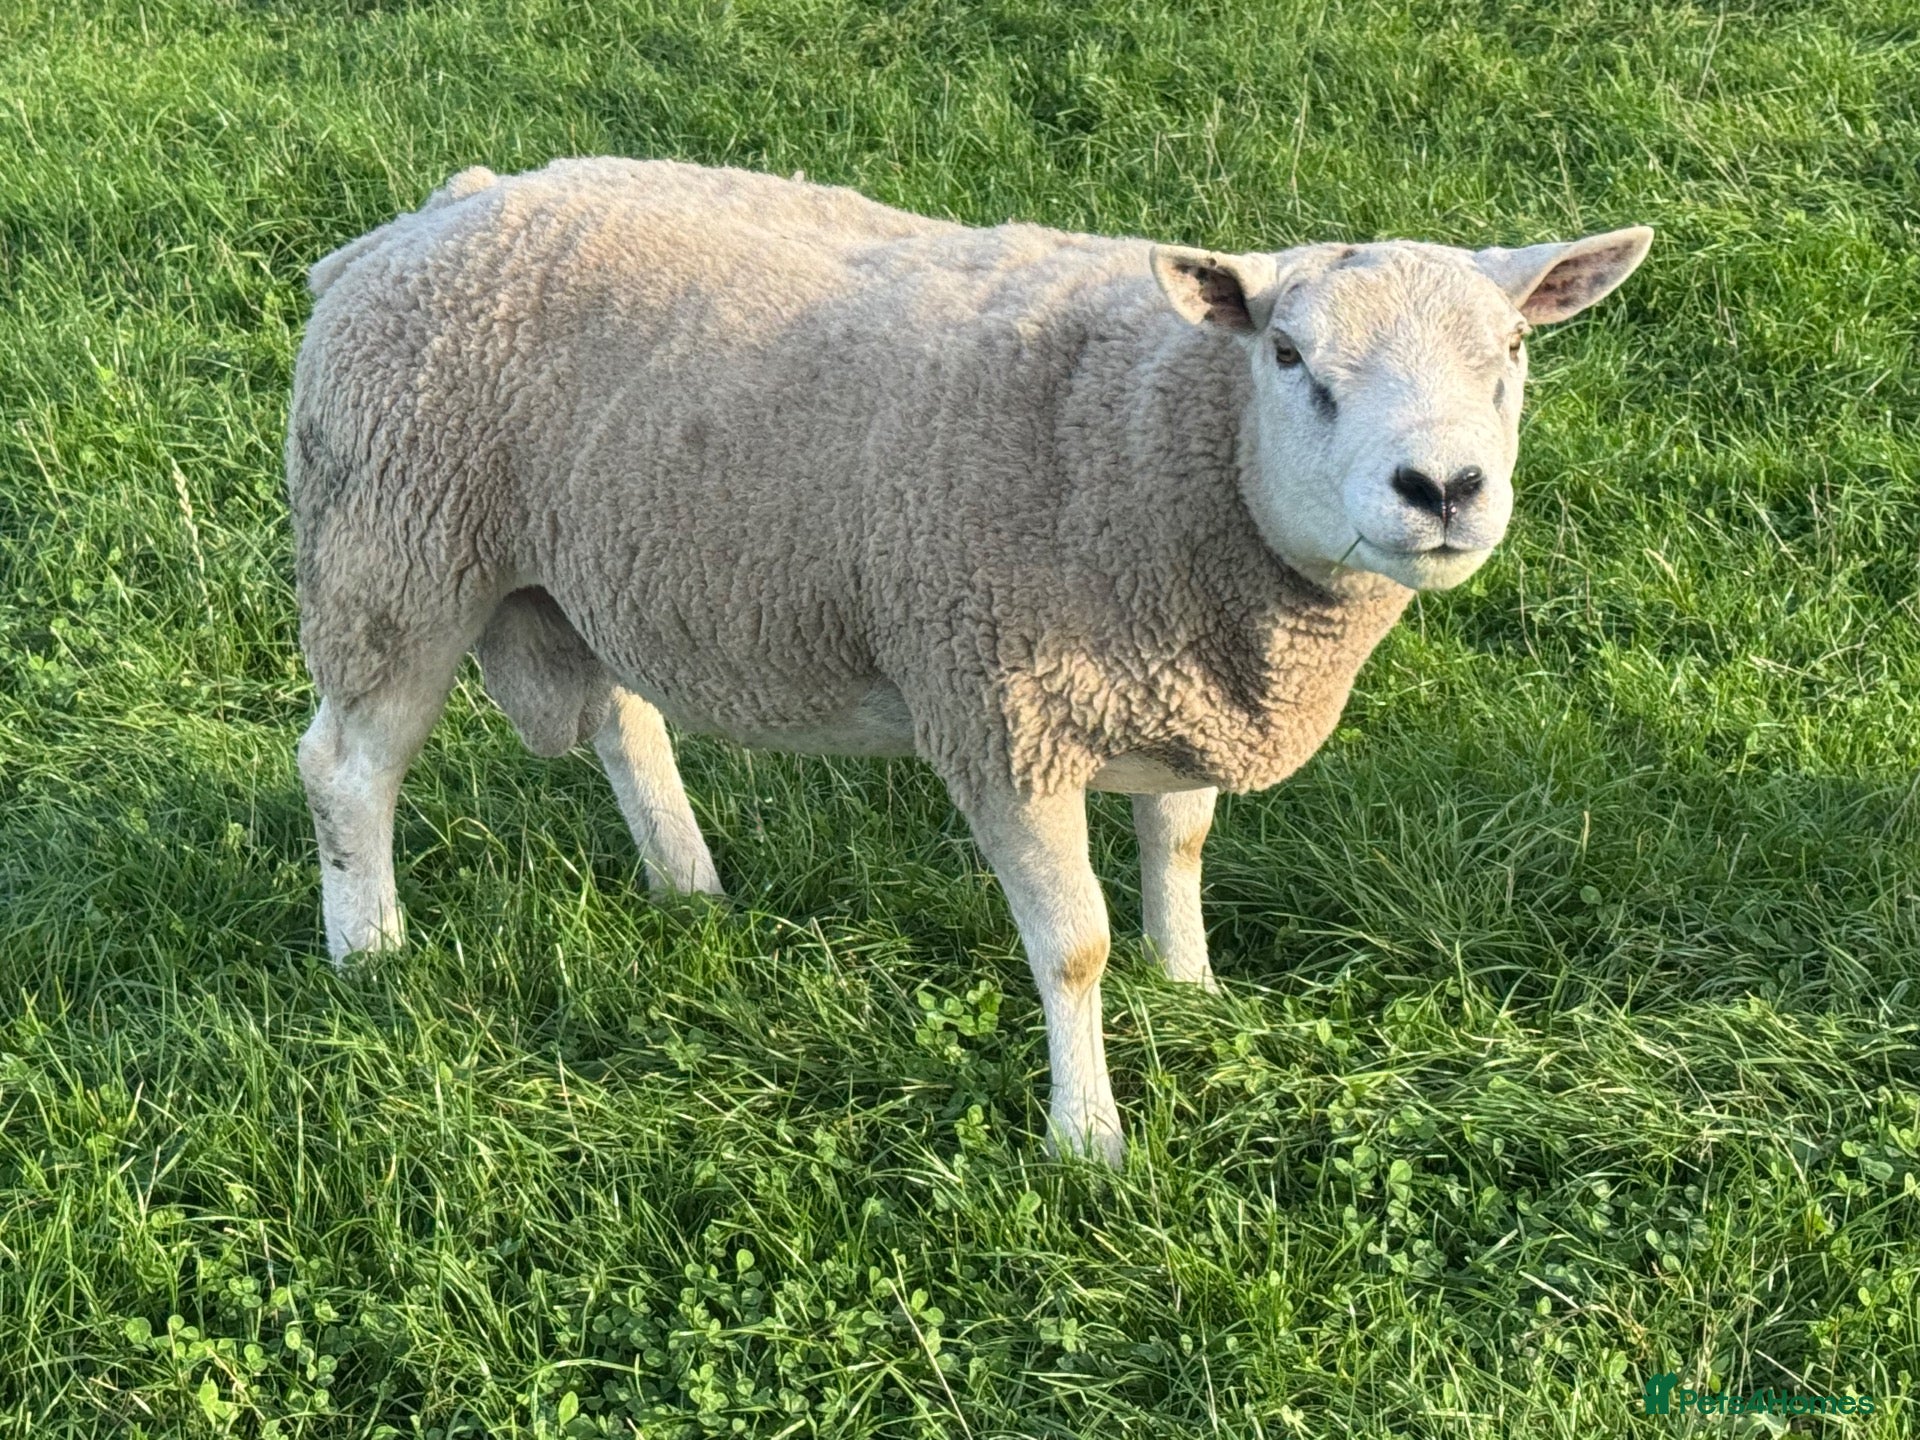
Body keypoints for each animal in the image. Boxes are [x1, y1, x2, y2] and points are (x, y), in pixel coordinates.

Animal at [288, 157, 1651, 1164]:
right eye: (1285, 355)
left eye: (1512, 352)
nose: (1445, 487)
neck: (1155, 439)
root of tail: (427, 214)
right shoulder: (1004, 715)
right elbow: (1074, 946)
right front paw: (1087, 1141)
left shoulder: (1180, 685)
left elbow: (1181, 848)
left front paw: (1192, 990)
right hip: (394, 547)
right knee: (346, 766)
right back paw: (371, 955)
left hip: (584, 564)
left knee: (626, 722)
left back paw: (688, 887)